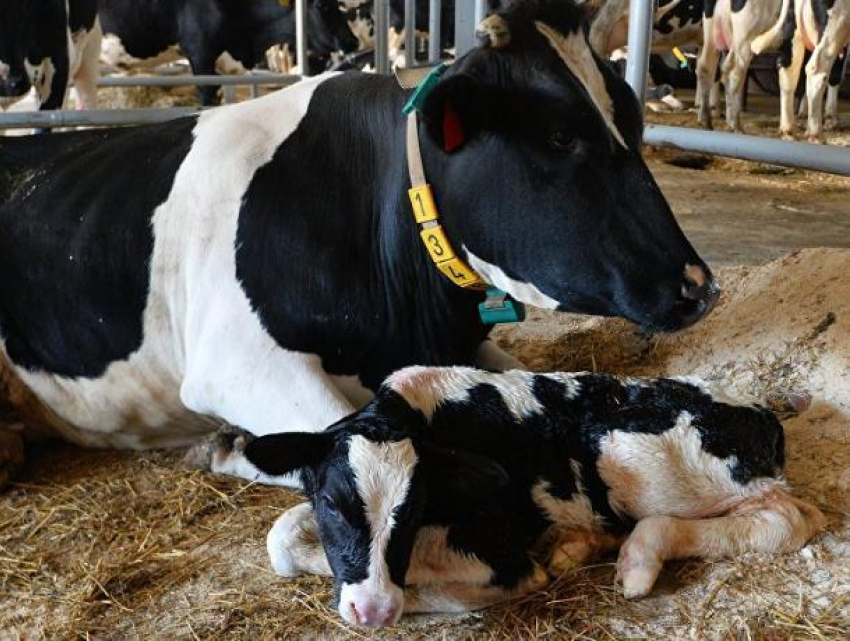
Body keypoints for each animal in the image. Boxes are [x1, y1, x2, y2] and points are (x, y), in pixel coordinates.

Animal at [237, 368, 820, 628]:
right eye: (333, 503)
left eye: (418, 506)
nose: (374, 608)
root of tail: (759, 412)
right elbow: (281, 535)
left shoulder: (497, 551)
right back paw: (575, 546)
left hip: (631, 453)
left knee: (788, 518)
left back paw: (637, 559)